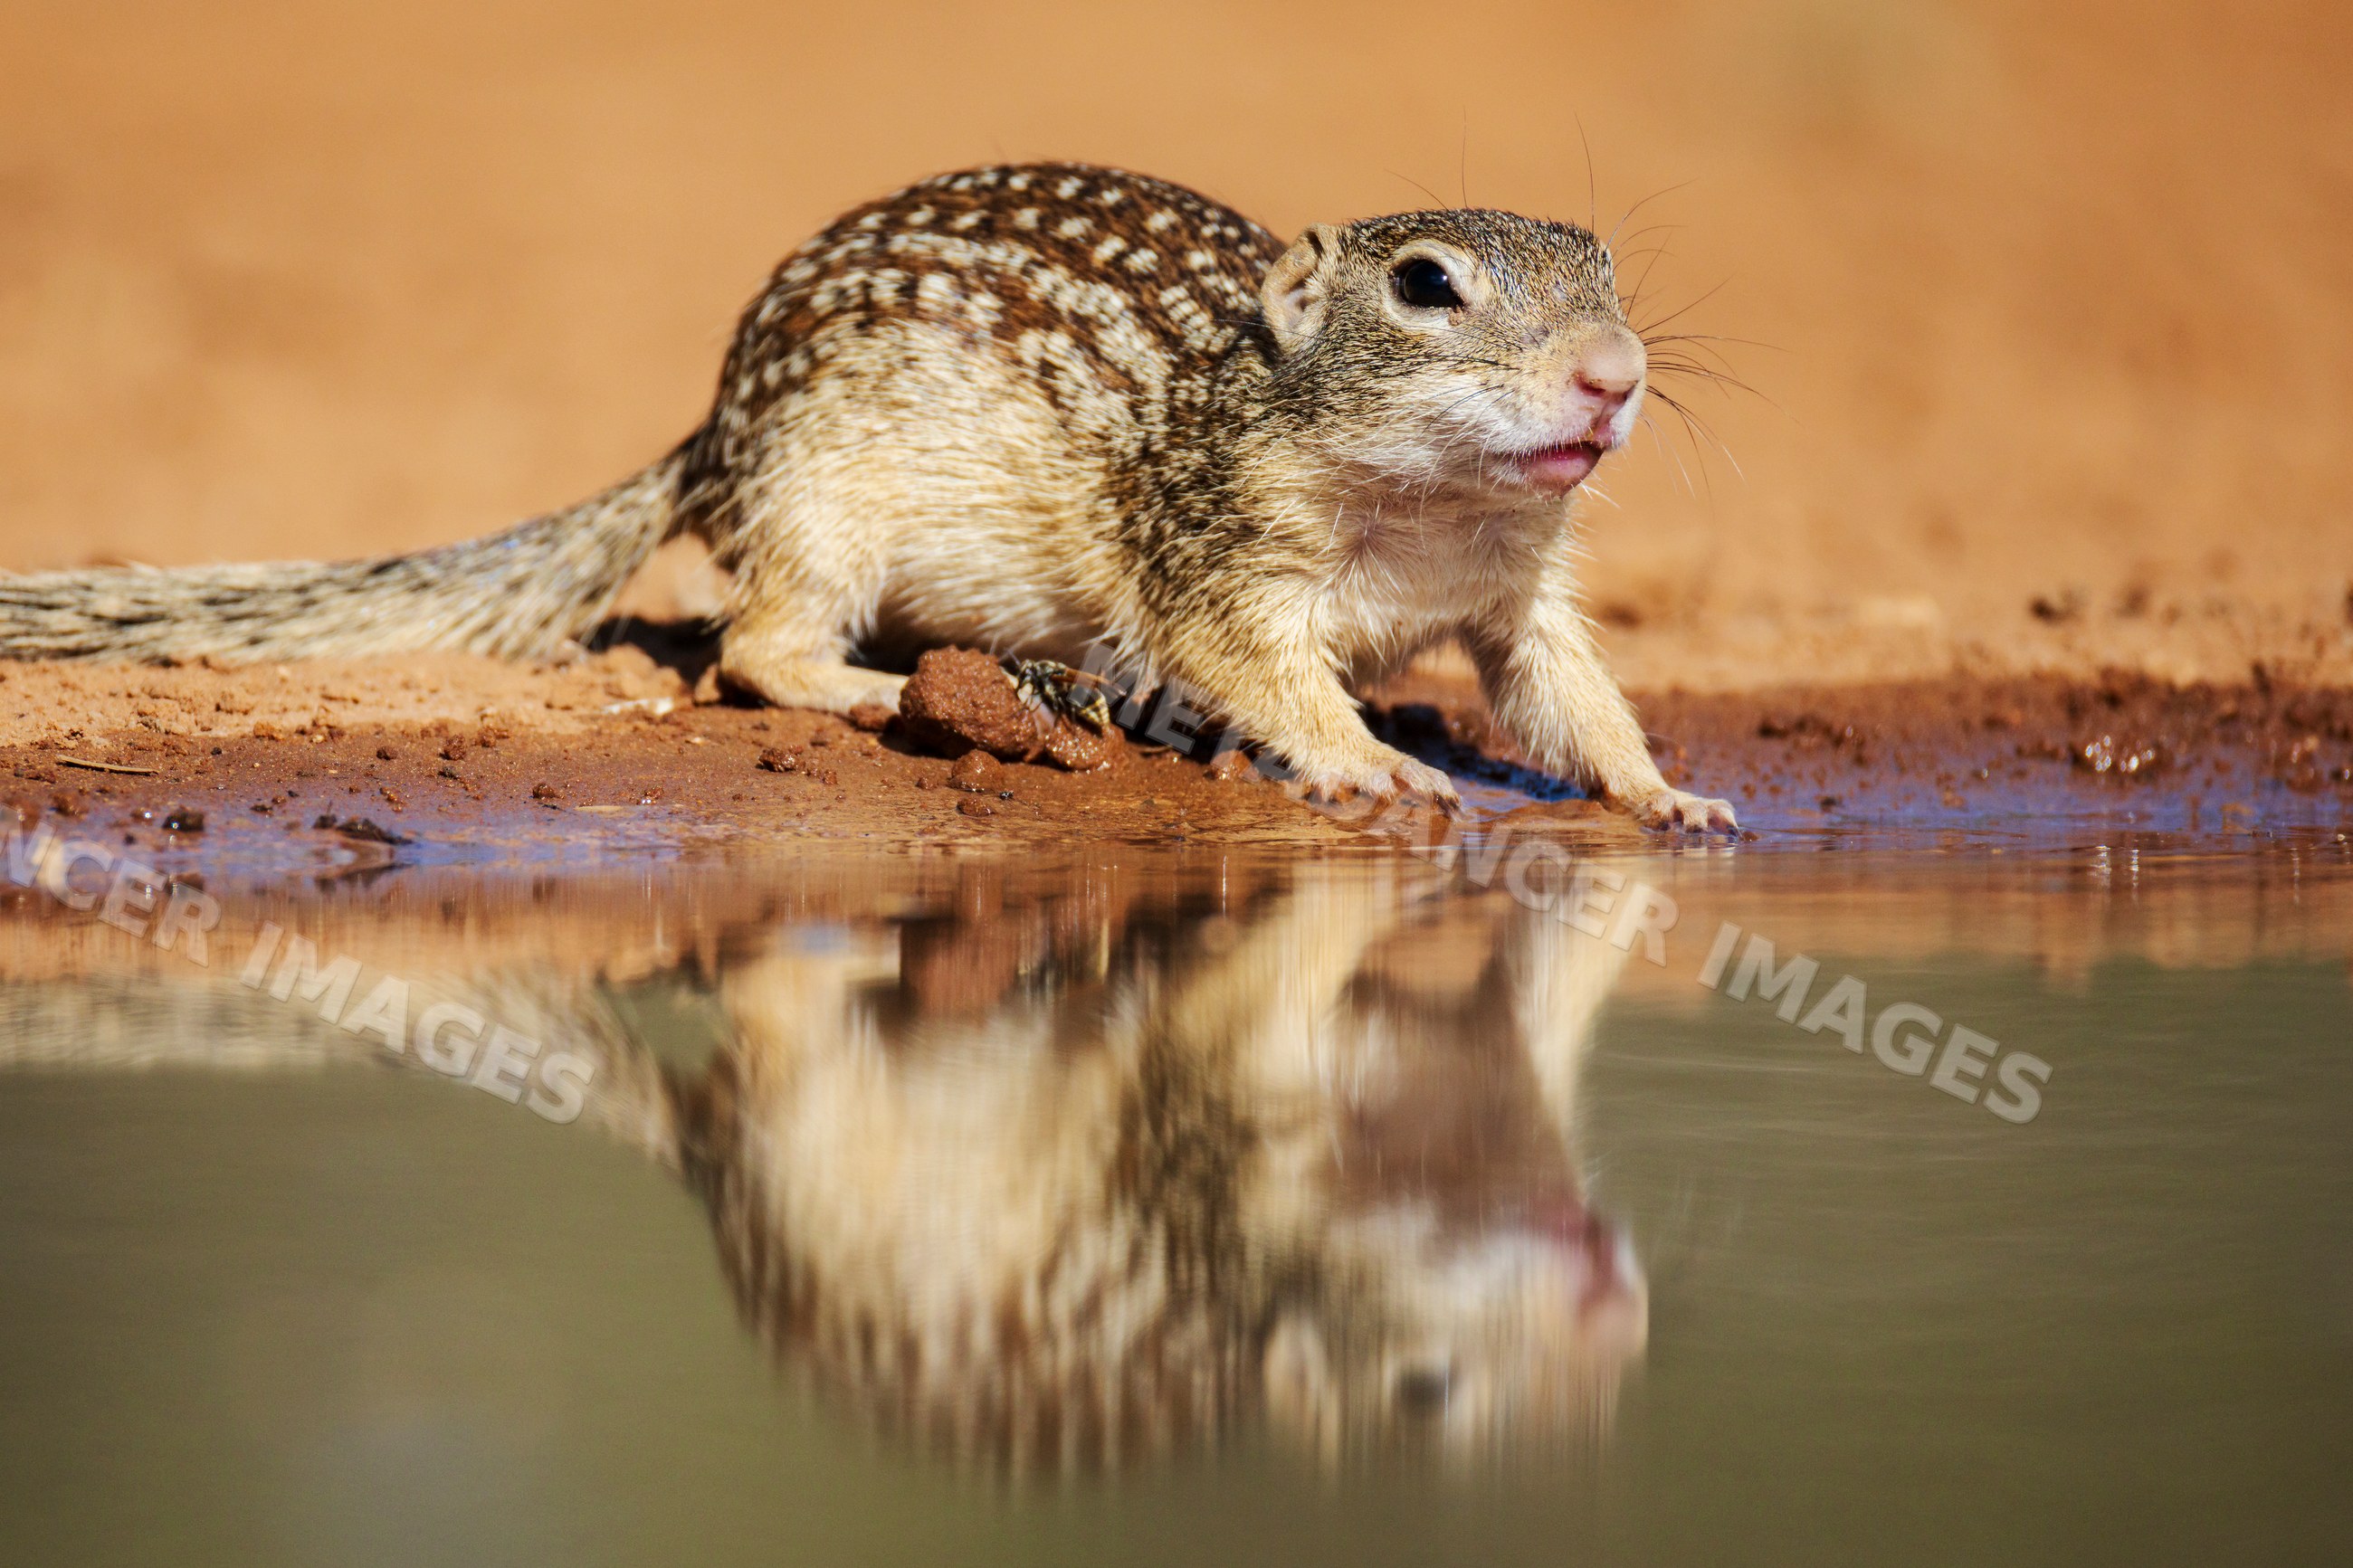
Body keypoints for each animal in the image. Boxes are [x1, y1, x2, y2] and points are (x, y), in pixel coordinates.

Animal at [0, 162, 1735, 831]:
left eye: (1602, 266)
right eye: (1429, 286)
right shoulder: (1219, 567)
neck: (1431, 517)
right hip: (824, 515)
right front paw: (1376, 761)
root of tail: (710, 431)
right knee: (748, 650)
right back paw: (880, 685)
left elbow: (1571, 692)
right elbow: (1261, 675)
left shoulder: (1519, 601)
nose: (1616, 371)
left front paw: (1670, 795)